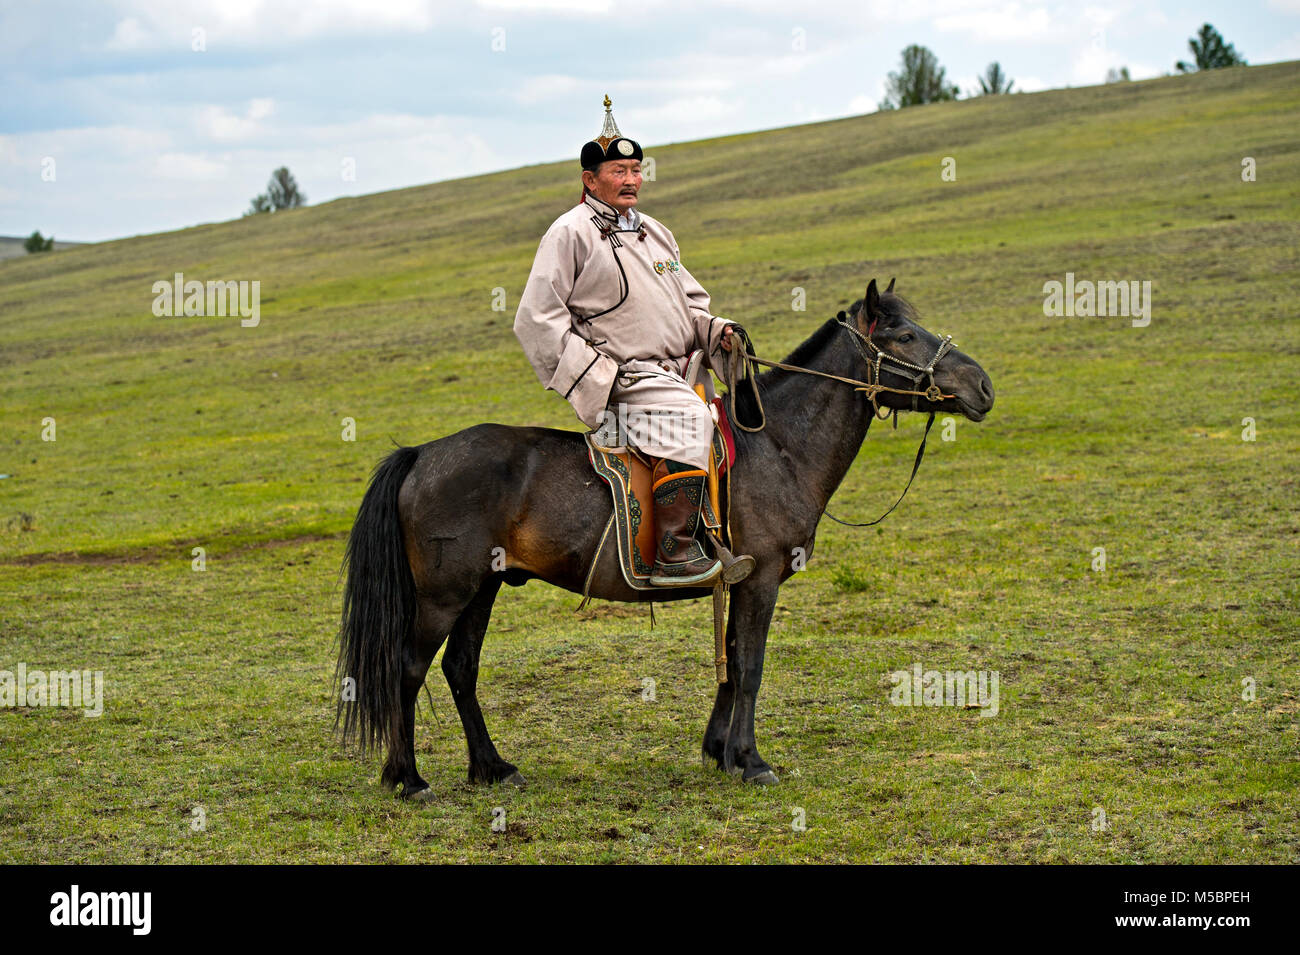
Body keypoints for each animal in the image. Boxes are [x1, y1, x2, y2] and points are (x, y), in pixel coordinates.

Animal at [335, 278, 995, 798]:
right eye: (903, 336)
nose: (983, 385)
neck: (779, 448)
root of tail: (422, 453)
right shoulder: (761, 581)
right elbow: (750, 664)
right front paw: (751, 760)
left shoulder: (740, 582)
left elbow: (731, 660)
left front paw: (719, 752)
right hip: (445, 594)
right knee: (408, 668)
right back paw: (408, 779)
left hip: (485, 587)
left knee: (460, 669)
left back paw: (492, 768)